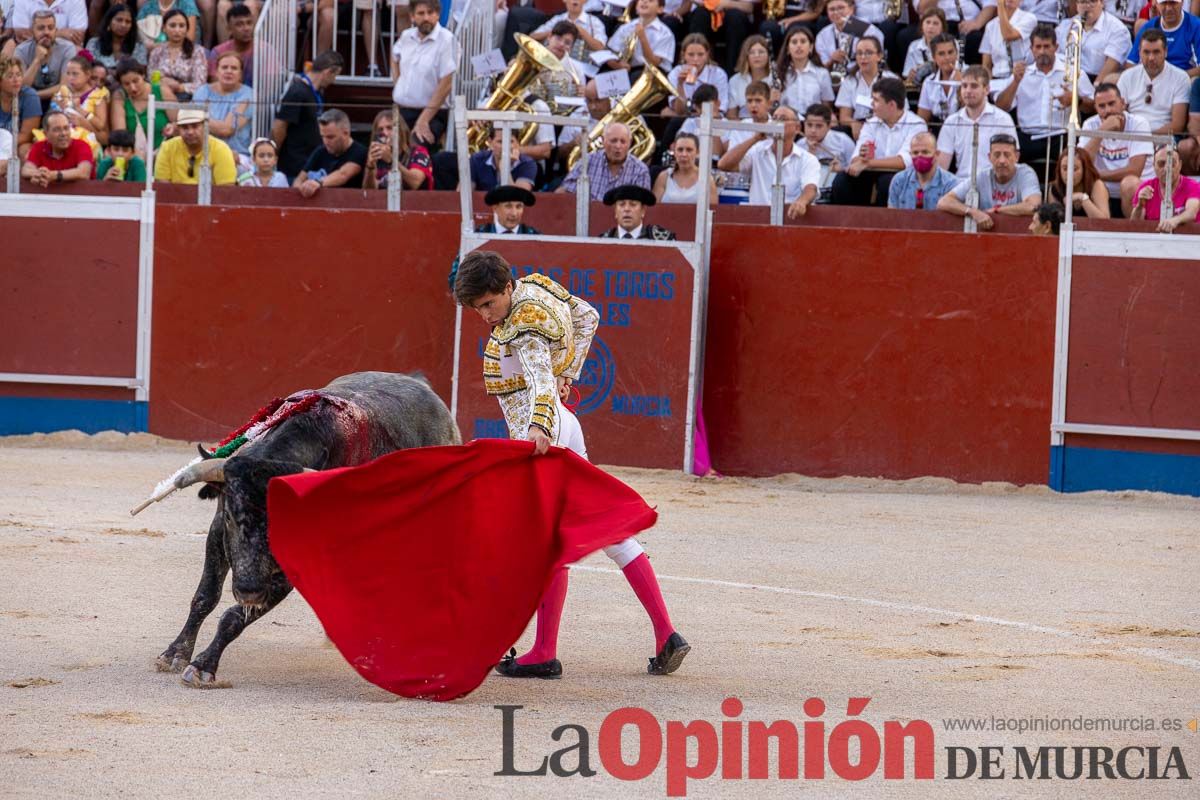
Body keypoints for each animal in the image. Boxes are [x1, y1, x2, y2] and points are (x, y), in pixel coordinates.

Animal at [137, 371, 458, 686]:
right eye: (230, 516)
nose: (249, 590)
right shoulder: (217, 534)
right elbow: (205, 597)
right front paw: (175, 654)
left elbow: (234, 616)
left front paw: (204, 665)